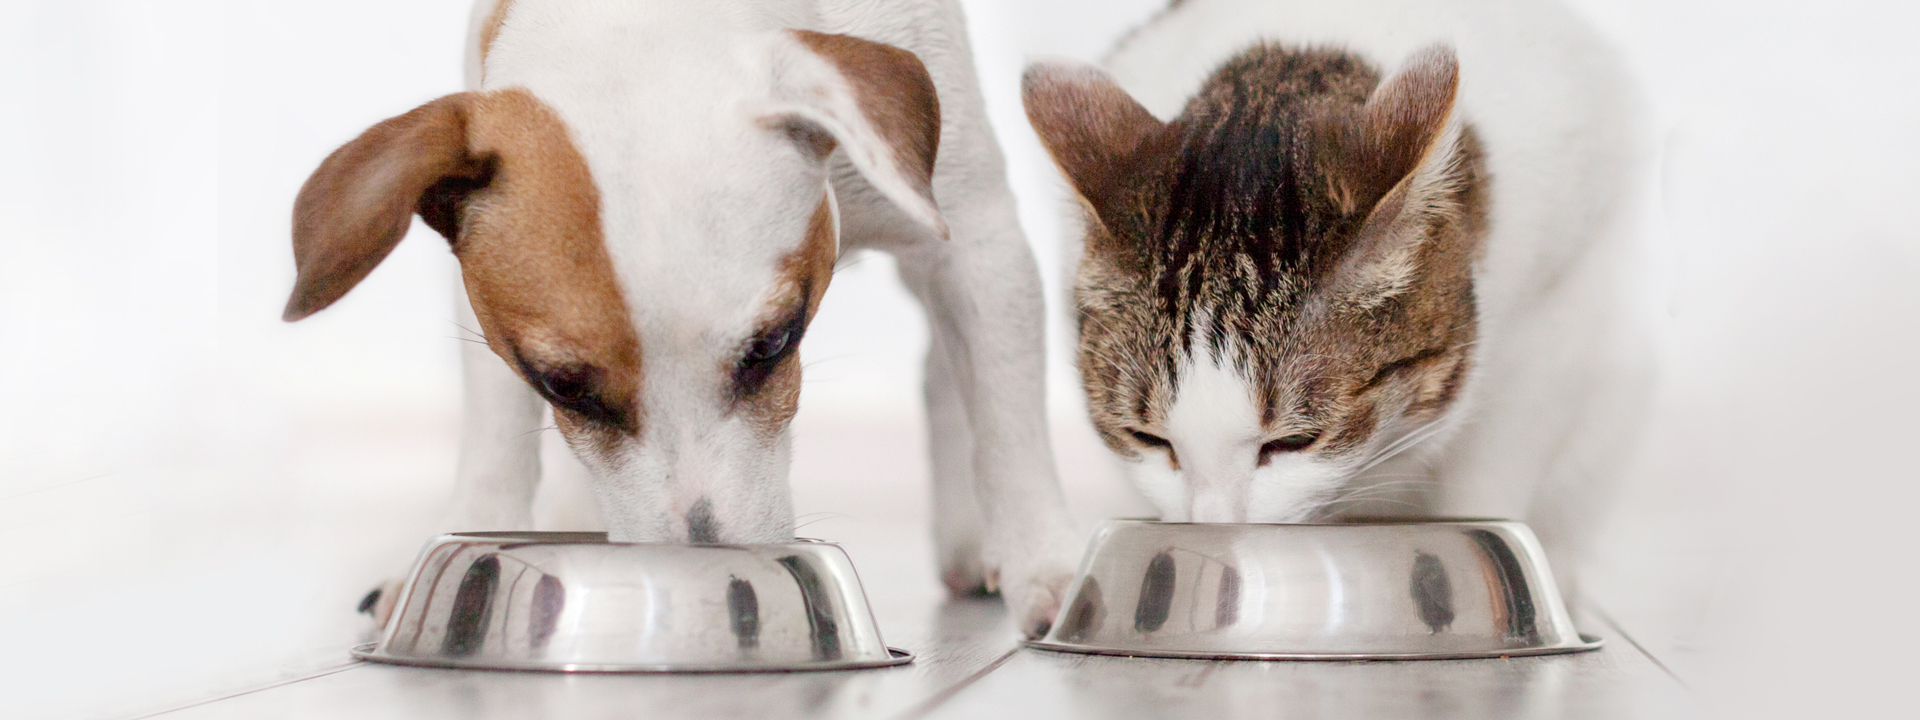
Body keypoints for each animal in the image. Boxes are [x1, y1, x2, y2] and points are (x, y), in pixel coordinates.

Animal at [291, 1, 1090, 641]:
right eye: (562, 386)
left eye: (775, 342)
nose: (707, 569)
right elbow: (496, 444)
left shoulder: (977, 240)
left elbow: (1009, 425)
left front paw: (1048, 563)